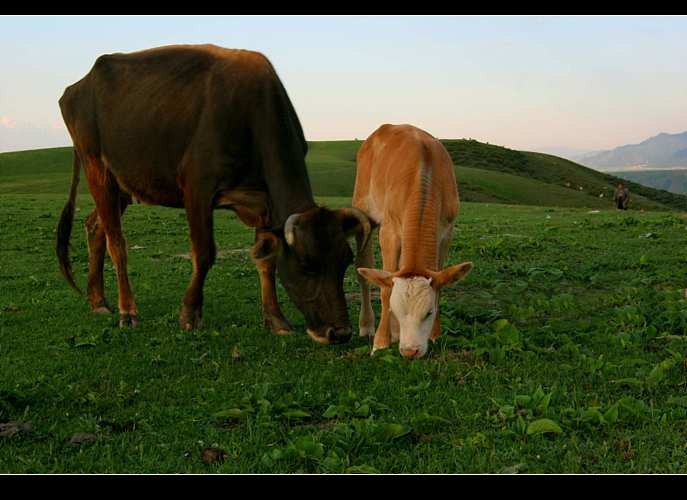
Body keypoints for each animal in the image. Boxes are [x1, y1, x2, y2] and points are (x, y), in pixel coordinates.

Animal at [55, 45, 370, 344]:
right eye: (306, 265)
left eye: (345, 261)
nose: (340, 332)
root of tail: (78, 86)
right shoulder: (197, 188)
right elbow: (205, 253)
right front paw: (189, 314)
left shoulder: (265, 205)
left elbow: (265, 259)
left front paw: (276, 319)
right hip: (97, 167)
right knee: (116, 242)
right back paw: (127, 311)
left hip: (124, 184)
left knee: (96, 228)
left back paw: (98, 301)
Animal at [354, 125, 472, 360]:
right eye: (395, 310)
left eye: (428, 312)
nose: (410, 351)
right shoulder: (389, 232)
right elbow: (385, 289)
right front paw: (380, 343)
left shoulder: (446, 232)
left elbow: (439, 288)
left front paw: (435, 335)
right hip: (363, 208)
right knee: (363, 271)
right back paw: (367, 326)